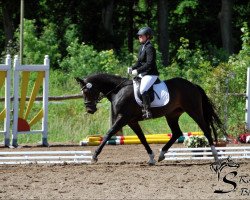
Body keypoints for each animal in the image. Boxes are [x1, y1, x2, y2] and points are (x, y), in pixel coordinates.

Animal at [75, 72, 226, 165]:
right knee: (176, 133)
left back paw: (216, 157)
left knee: (206, 129)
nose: (90, 110)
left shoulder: (123, 118)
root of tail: (193, 85)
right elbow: (142, 138)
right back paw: (161, 155)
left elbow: (109, 133)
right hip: (172, 114)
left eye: (87, 91)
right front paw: (152, 158)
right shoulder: (132, 121)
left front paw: (95, 156)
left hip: (194, 111)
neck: (118, 90)